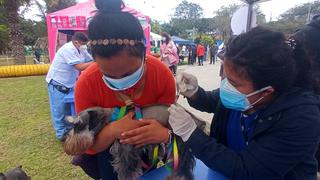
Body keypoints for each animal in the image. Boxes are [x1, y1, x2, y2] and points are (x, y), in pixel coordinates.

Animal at [63, 104, 206, 180]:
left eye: (78, 125)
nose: (66, 143)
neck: (111, 119)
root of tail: (197, 121)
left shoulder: (125, 152)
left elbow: (126, 172)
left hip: (179, 147)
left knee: (183, 169)